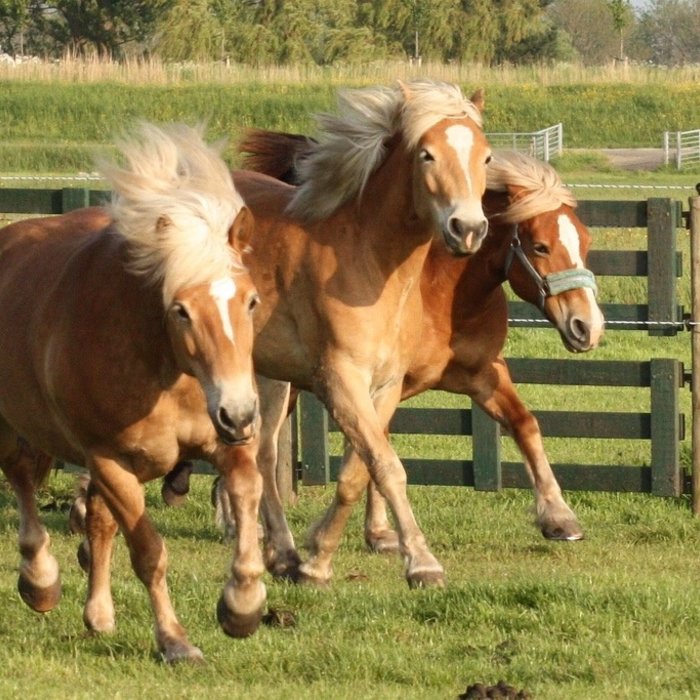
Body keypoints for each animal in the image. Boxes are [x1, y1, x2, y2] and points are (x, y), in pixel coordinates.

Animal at [0, 123, 262, 664]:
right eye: (181, 310)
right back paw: (40, 580)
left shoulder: (223, 443)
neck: (164, 368)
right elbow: (149, 553)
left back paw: (98, 614)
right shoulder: (109, 460)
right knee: (22, 480)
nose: (239, 412)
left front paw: (243, 604)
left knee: (97, 521)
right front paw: (175, 640)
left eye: (251, 301)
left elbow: (247, 492)